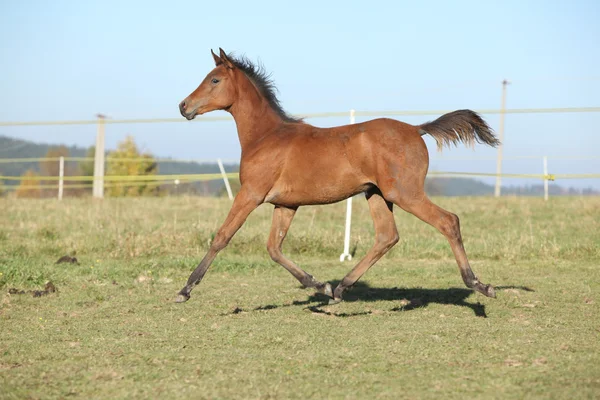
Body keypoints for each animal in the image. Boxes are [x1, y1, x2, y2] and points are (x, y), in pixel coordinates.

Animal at [176, 47, 500, 304]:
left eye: (214, 79)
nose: (183, 106)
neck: (266, 136)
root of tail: (416, 129)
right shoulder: (286, 204)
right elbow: (274, 248)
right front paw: (320, 285)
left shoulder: (251, 194)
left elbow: (222, 236)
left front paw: (185, 289)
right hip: (376, 194)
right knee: (387, 236)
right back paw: (341, 288)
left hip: (404, 193)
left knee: (448, 221)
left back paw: (479, 285)